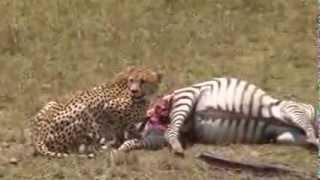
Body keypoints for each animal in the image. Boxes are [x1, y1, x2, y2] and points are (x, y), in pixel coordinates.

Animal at [31, 66, 161, 158]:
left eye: (143, 81)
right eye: (132, 80)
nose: (134, 91)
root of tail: (39, 135)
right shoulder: (109, 107)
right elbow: (122, 125)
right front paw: (128, 138)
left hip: (52, 103)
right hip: (83, 110)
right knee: (80, 146)